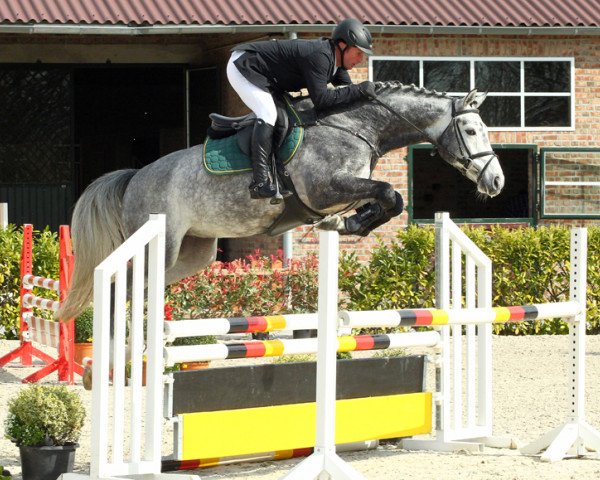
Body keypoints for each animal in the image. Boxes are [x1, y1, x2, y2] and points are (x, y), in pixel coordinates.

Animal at [58, 82, 504, 322]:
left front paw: (349, 223)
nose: (496, 181)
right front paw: (351, 223)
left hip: (193, 253)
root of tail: (134, 177)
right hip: (160, 241)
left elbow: (387, 199)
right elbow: (389, 193)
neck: (355, 126)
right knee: (121, 286)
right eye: (470, 130)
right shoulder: (325, 188)